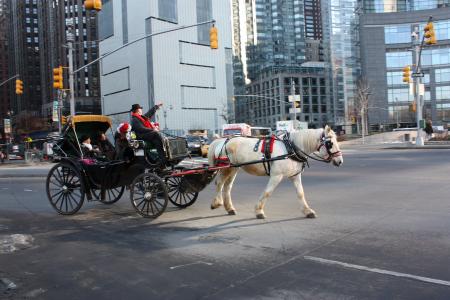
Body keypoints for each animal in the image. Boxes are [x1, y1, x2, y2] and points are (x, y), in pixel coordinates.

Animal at [208, 125, 344, 219]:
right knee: (219, 183)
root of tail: (223, 140)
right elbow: (267, 192)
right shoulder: (276, 176)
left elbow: (300, 193)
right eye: (330, 143)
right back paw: (217, 202)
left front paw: (308, 211)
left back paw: (229, 208)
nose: (340, 161)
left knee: (227, 186)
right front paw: (259, 211)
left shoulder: (295, 176)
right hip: (226, 168)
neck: (291, 148)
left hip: (234, 168)